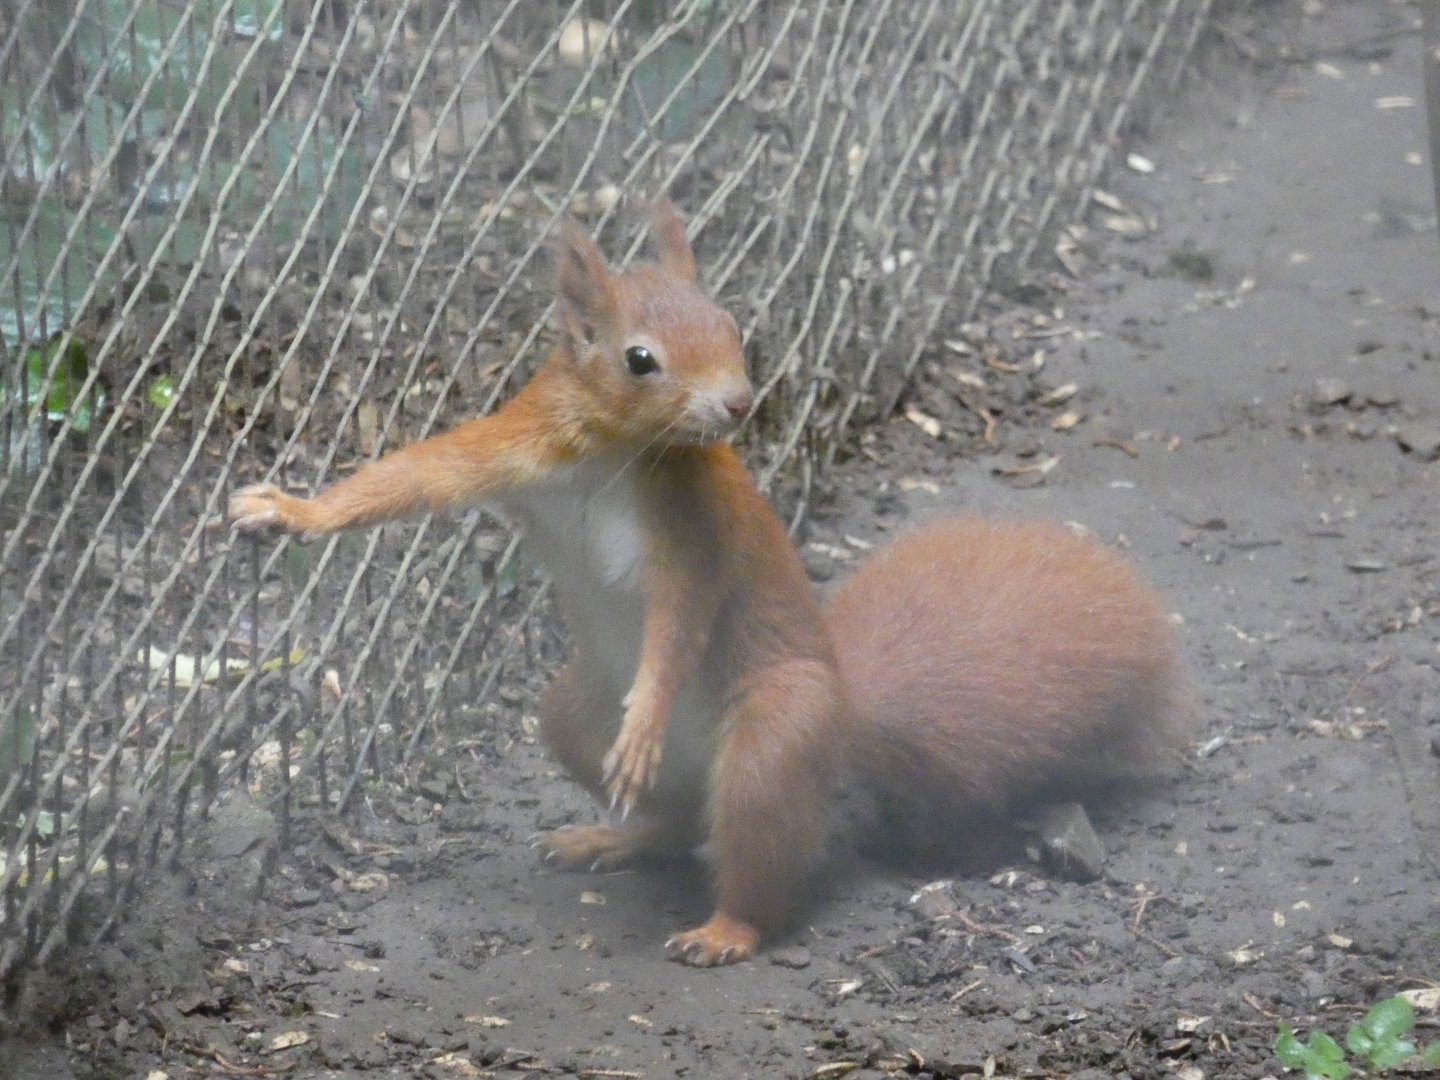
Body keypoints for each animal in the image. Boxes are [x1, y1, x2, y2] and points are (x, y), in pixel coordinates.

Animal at [228, 200, 1187, 966]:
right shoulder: (515, 448)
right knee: (681, 819)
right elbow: (415, 475)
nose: (738, 404)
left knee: (752, 856)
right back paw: (609, 835)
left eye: (732, 327)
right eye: (639, 358)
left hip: (774, 734)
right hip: (571, 711)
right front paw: (289, 511)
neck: (612, 452)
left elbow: (682, 614)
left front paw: (648, 716)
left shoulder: (691, 527)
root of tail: (847, 713)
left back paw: (725, 928)